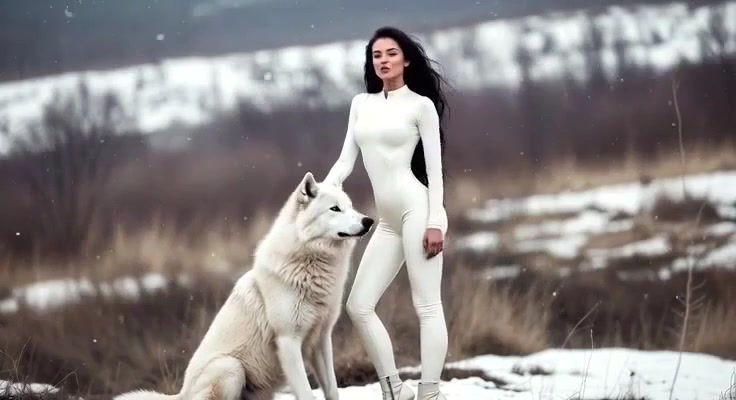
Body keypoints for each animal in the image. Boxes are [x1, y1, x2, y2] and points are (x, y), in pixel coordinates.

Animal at [114, 172, 375, 400]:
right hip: (231, 368)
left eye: (350, 206)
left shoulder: (321, 340)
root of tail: (180, 395)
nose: (368, 220)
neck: (309, 266)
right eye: (335, 208)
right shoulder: (288, 341)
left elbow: (332, 390)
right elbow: (307, 394)